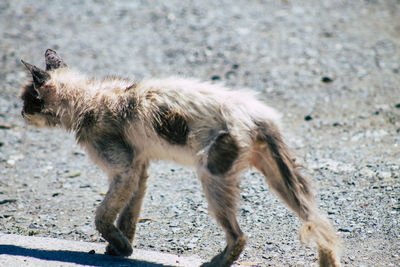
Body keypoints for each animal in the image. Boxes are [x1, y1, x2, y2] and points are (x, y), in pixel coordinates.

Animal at [19, 50, 340, 267]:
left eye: (27, 100)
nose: (20, 113)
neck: (88, 99)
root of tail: (255, 114)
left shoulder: (124, 169)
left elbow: (102, 216)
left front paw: (120, 247)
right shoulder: (138, 169)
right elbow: (128, 215)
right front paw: (121, 249)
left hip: (212, 175)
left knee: (240, 236)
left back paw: (216, 263)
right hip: (279, 180)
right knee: (320, 223)